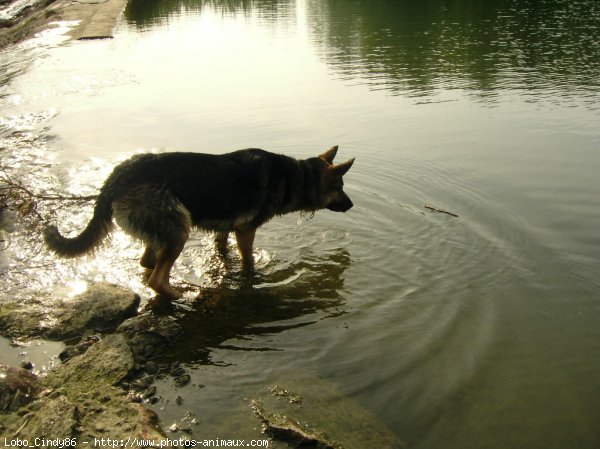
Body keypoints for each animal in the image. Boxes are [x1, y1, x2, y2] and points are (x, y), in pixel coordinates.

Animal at [45, 145, 356, 298]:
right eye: (340, 187)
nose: (352, 205)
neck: (295, 177)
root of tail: (117, 175)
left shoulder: (224, 231)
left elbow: (223, 252)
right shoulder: (245, 231)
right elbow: (248, 261)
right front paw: (252, 278)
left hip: (163, 232)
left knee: (147, 264)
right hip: (178, 231)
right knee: (156, 279)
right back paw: (176, 294)